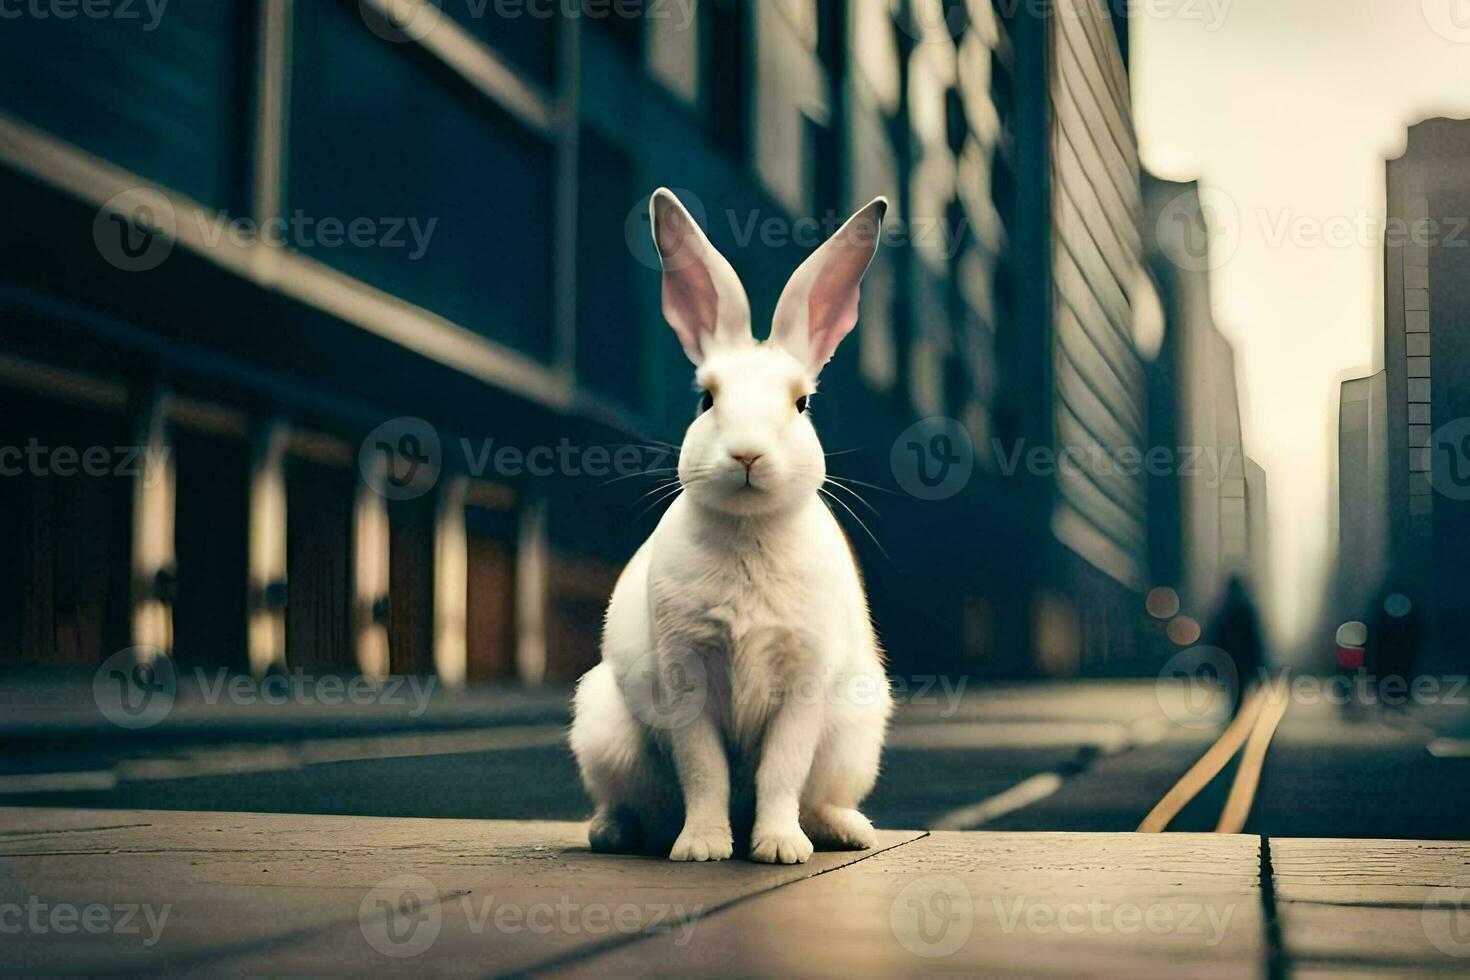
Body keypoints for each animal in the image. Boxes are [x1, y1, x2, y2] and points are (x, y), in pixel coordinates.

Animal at [567, 188, 887, 863]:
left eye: (801, 403)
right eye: (706, 400)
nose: (746, 455)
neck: (749, 531)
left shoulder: (803, 683)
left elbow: (781, 771)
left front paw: (778, 848)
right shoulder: (685, 674)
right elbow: (705, 769)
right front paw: (703, 847)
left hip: (855, 735)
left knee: (819, 797)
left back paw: (847, 830)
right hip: (603, 730)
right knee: (633, 804)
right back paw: (612, 833)